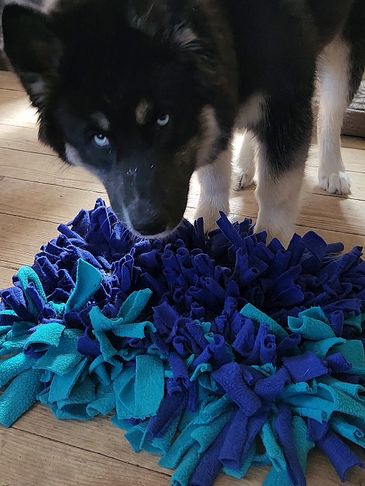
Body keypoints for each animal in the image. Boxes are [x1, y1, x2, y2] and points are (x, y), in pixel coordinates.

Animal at [1, 0, 362, 241]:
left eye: (162, 119)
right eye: (98, 138)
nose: (149, 227)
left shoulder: (286, 104)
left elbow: (277, 189)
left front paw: (269, 250)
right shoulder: (212, 114)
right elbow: (213, 177)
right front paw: (209, 226)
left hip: (344, 56)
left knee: (330, 116)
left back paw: (332, 171)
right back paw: (244, 168)